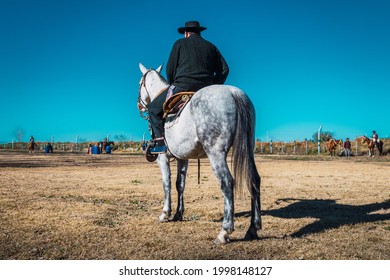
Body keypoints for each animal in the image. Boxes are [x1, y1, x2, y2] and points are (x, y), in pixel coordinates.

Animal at [137, 64, 262, 245]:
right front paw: (178, 214)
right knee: (253, 179)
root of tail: (234, 93)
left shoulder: (162, 158)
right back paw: (253, 227)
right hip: (249, 148)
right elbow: (180, 184)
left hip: (215, 152)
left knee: (227, 182)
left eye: (139, 83)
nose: (139, 105)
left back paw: (224, 232)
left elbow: (166, 183)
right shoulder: (183, 158)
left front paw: (165, 213)